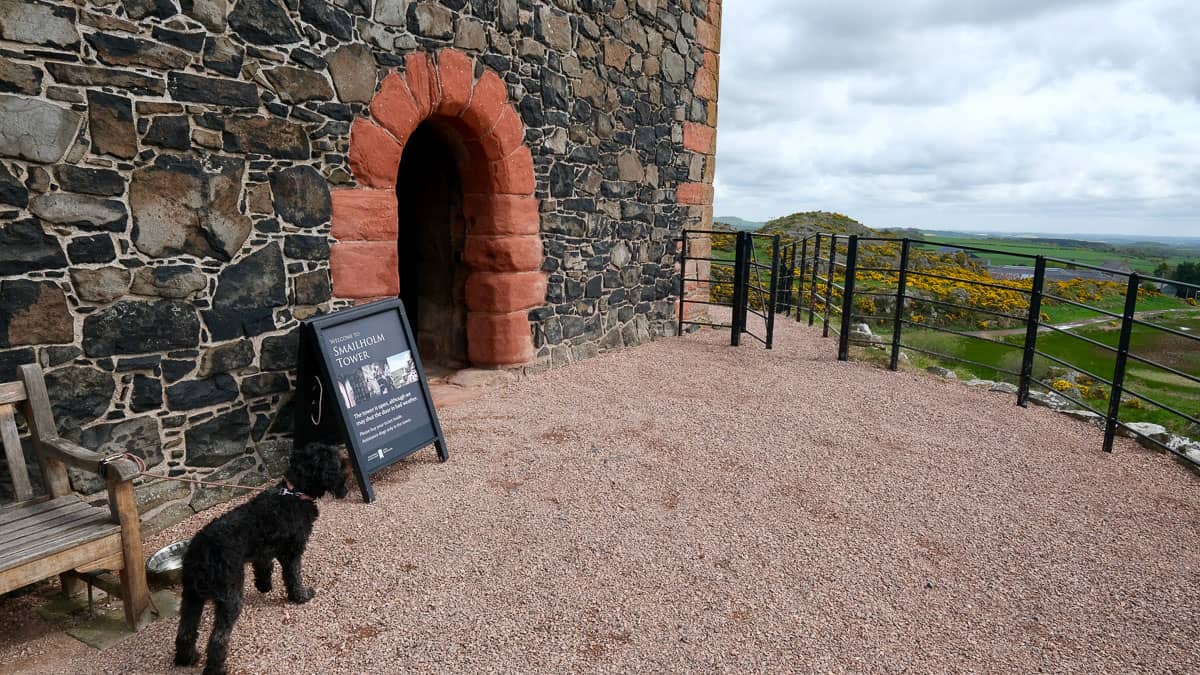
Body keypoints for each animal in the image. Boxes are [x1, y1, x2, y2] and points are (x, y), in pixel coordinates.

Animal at [175, 441, 350, 672]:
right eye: (337, 464)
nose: (345, 484)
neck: (295, 493)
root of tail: (201, 551)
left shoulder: (263, 552)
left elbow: (264, 568)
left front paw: (264, 586)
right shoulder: (292, 553)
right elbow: (294, 577)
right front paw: (301, 596)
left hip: (192, 596)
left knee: (185, 631)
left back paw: (187, 658)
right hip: (229, 597)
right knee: (218, 638)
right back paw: (217, 668)